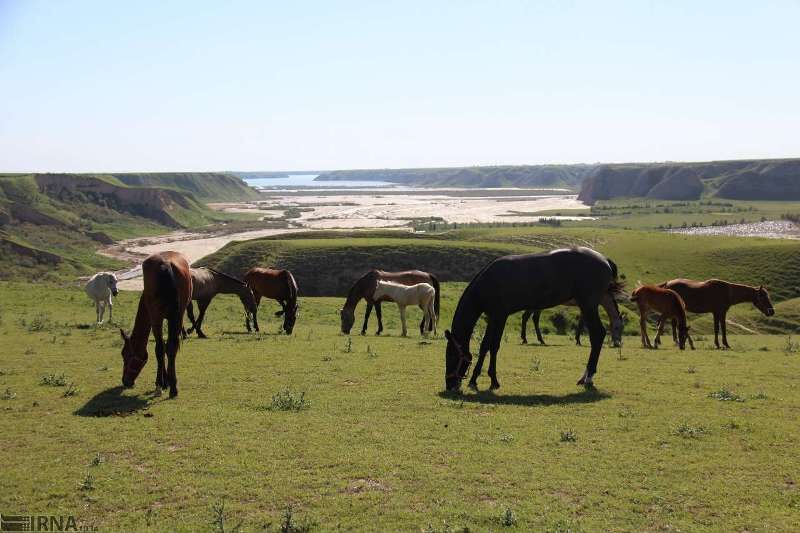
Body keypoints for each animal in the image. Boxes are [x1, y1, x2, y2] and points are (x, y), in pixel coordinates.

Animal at [119, 251, 192, 396]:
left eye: (125, 354)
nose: (125, 381)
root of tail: (166, 265)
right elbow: (167, 347)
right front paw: (168, 381)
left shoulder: (155, 318)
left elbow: (160, 349)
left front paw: (163, 382)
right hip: (177, 316)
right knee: (171, 347)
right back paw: (173, 388)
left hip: (156, 318)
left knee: (159, 348)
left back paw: (160, 384)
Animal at [444, 246, 620, 390]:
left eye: (451, 355)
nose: (450, 384)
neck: (488, 282)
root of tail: (605, 259)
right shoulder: (493, 317)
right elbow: (487, 345)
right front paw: (479, 380)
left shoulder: (499, 316)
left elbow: (492, 346)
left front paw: (488, 380)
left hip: (588, 305)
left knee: (598, 335)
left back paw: (587, 377)